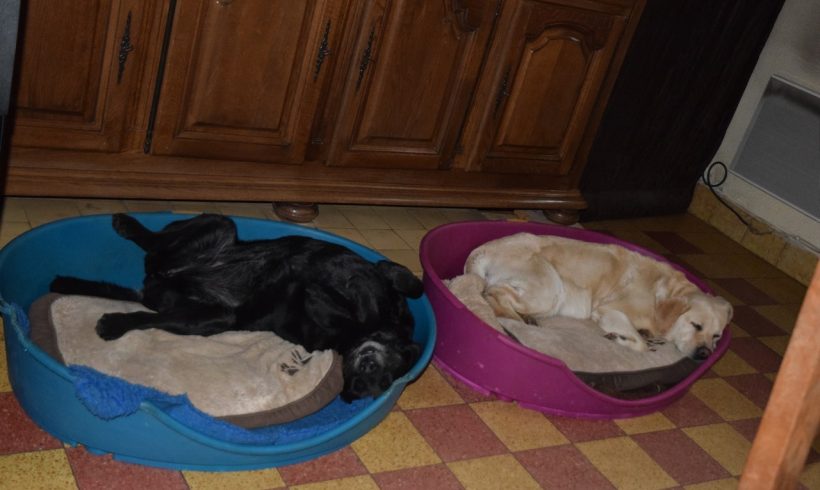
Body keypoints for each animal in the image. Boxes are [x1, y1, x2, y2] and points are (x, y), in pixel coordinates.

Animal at [50, 213, 424, 401]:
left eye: (384, 379)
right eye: (387, 370)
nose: (367, 372)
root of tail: (156, 282)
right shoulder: (379, 281)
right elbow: (401, 279)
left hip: (211, 317)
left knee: (146, 315)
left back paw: (114, 323)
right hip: (219, 224)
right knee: (153, 241)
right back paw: (128, 224)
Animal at [464, 232, 732, 360]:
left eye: (717, 335)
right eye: (696, 325)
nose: (705, 354)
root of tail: (481, 250)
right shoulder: (609, 311)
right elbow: (641, 344)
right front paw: (621, 338)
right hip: (551, 286)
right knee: (495, 294)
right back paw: (521, 319)